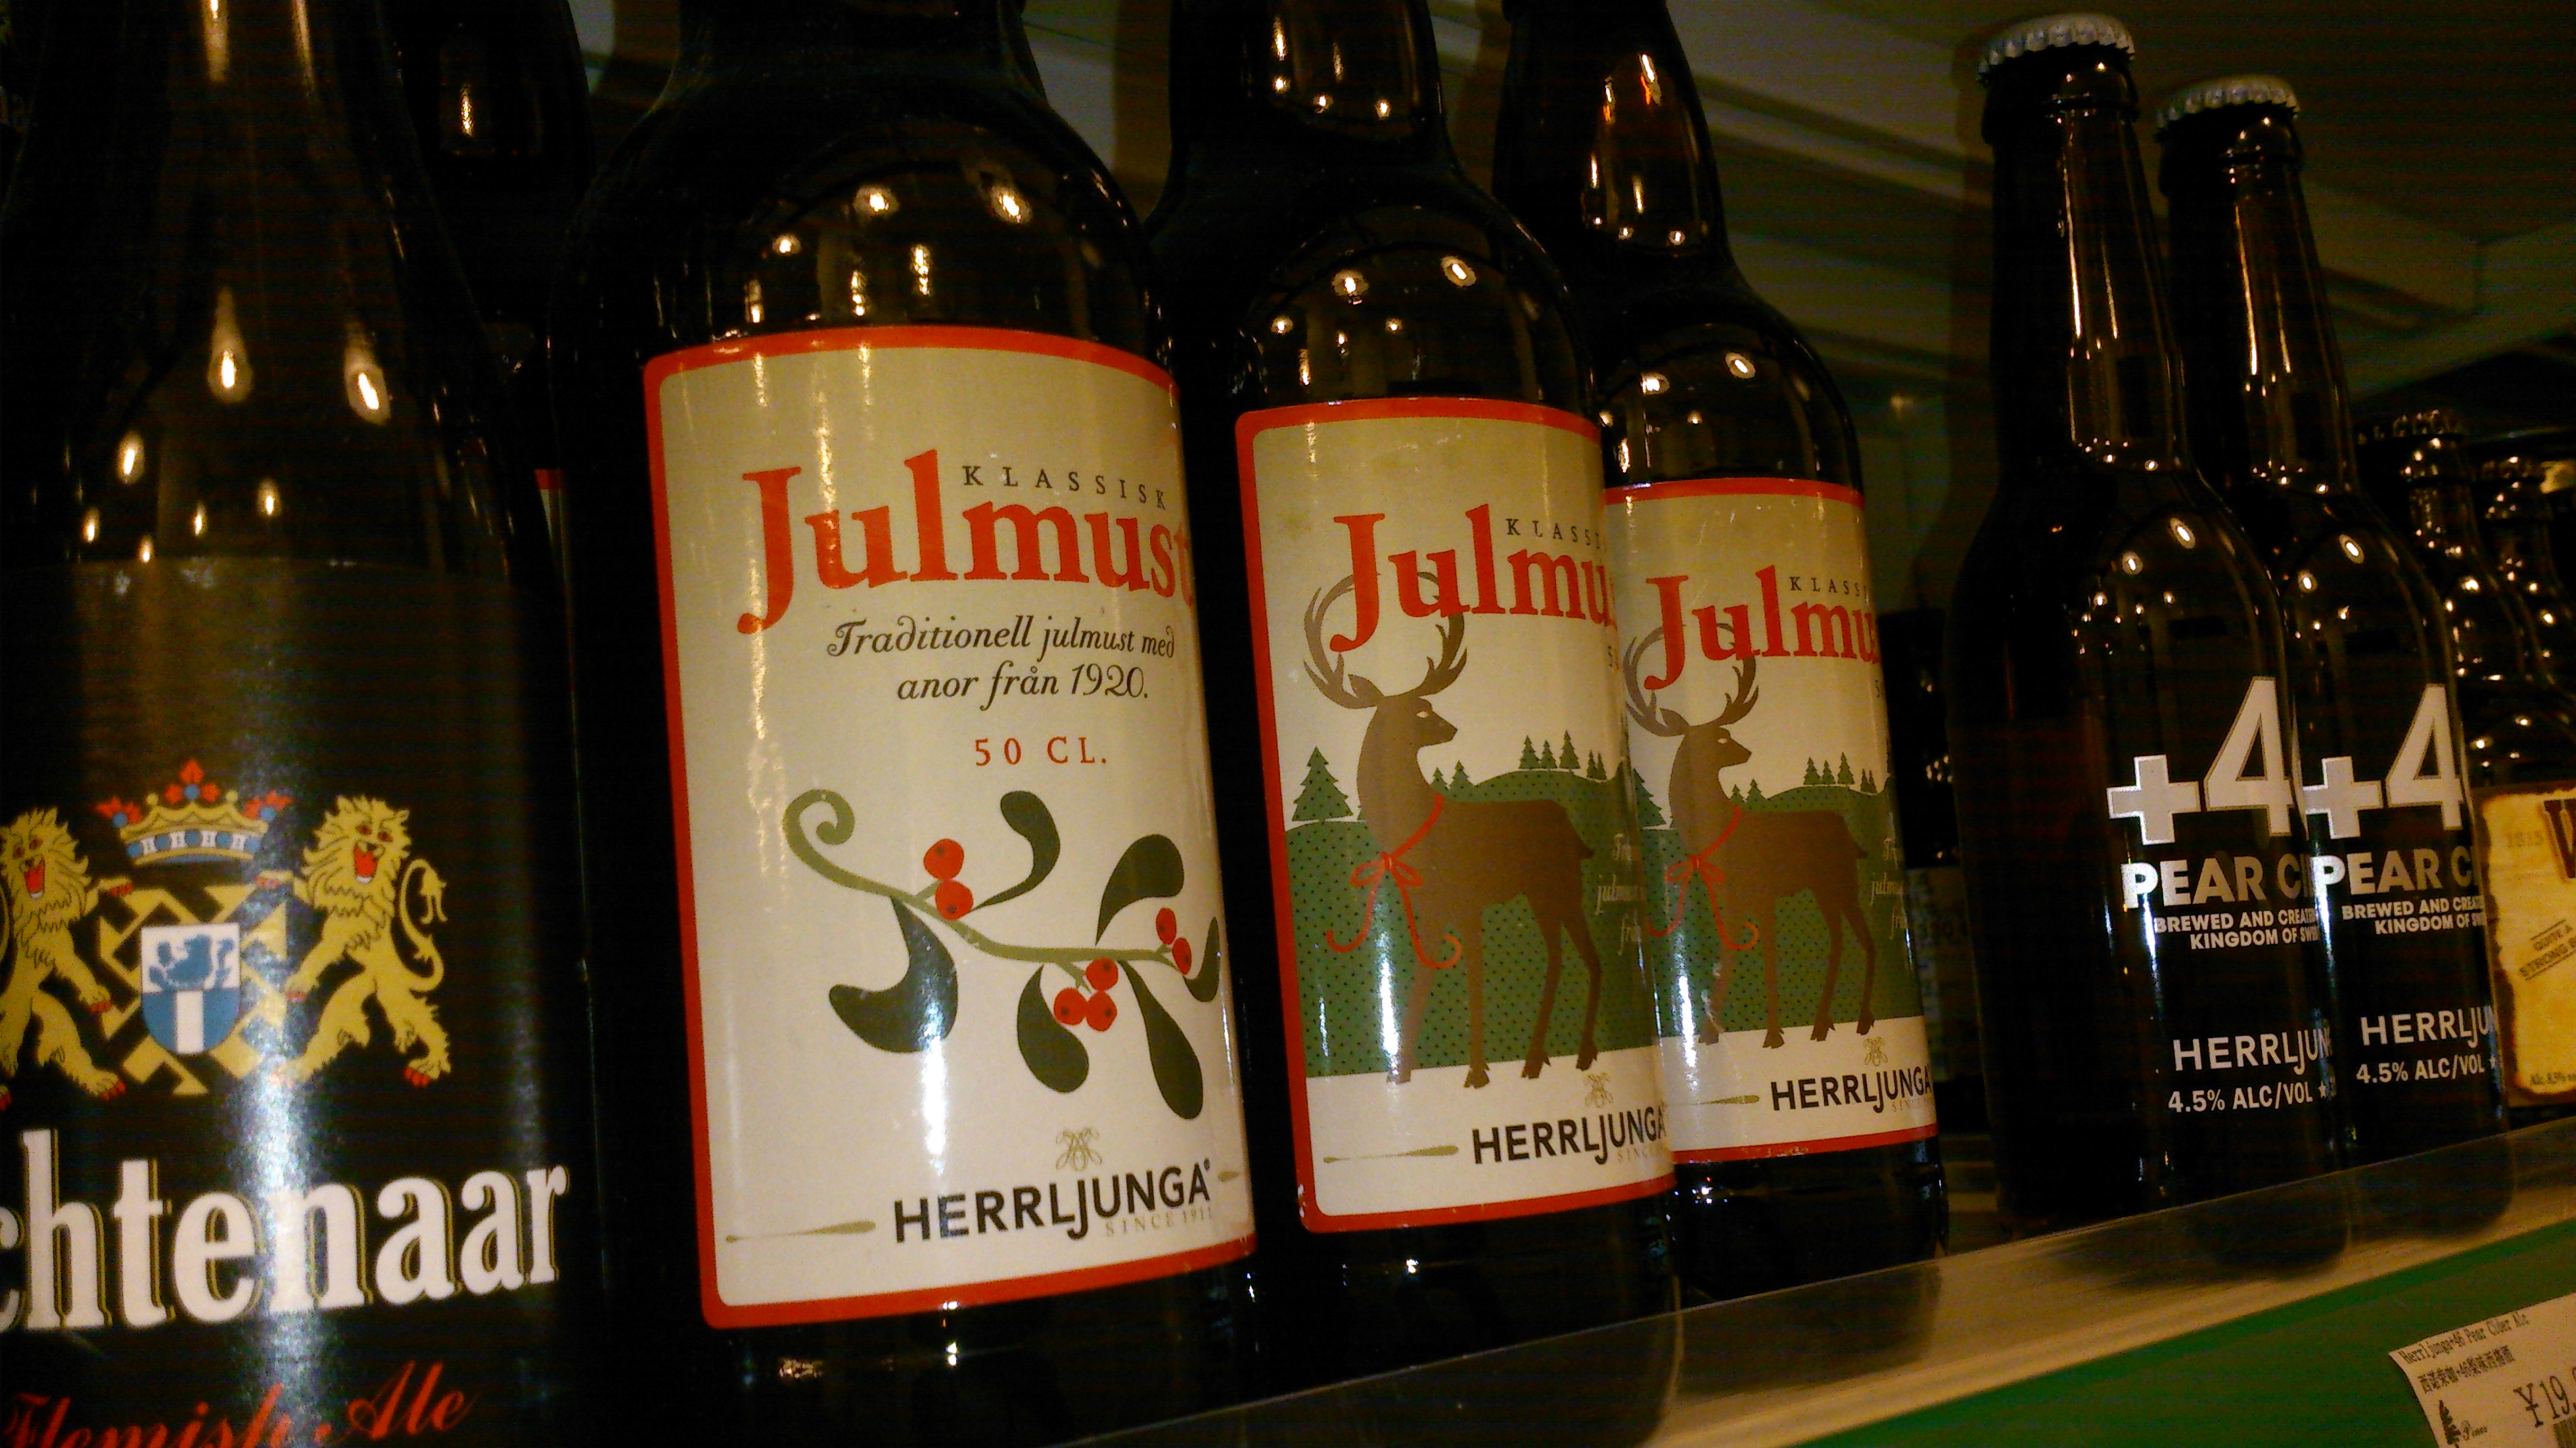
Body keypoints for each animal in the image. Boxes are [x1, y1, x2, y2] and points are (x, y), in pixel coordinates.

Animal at [0, 809, 129, 1108]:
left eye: (35, 843)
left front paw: (115, 885)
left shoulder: (66, 913)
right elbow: (76, 966)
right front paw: (94, 993)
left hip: (45, 1010)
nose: (27, 862)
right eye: (18, 851)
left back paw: (100, 1082)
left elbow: (88, 898)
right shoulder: (54, 945)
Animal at [272, 797, 451, 1087]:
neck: (357, 887)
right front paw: (276, 878)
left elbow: (319, 955)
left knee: (420, 1016)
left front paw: (300, 980)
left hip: (388, 989)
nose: (375, 846)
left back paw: (429, 1064)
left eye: (385, 836)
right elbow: (306, 890)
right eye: (364, 830)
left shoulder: (341, 935)